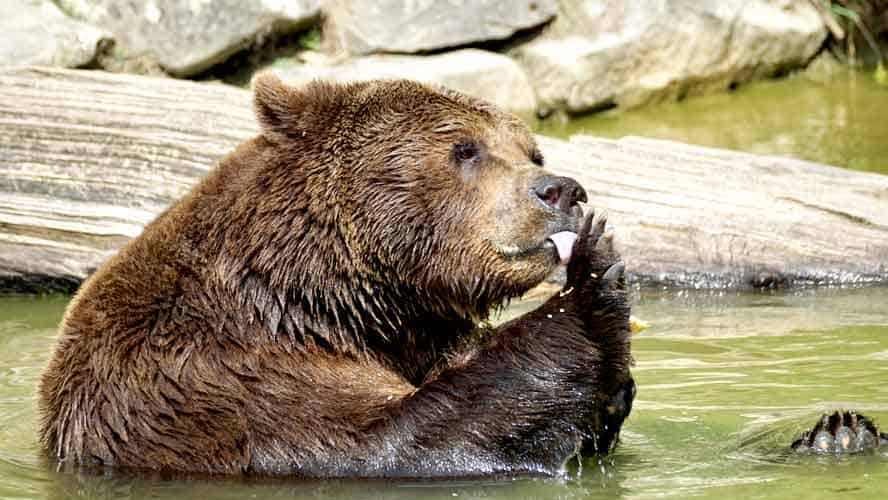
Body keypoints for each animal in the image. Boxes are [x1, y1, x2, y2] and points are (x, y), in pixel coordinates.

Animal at [38, 76, 636, 478]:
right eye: (464, 149)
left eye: (533, 151)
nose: (561, 190)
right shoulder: (215, 379)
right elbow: (391, 441)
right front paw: (593, 280)